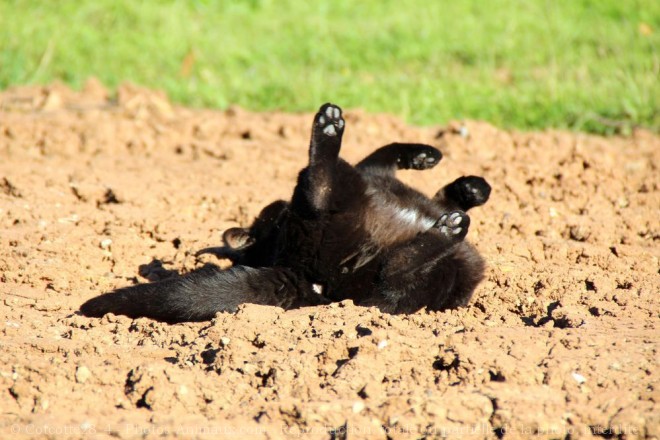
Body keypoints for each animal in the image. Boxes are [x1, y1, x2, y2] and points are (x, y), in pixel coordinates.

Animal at [80, 104, 490, 324]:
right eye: (271, 217)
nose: (278, 208)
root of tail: (300, 275)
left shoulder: (375, 177)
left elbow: (399, 159)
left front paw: (464, 181)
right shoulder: (366, 175)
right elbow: (380, 152)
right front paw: (451, 179)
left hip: (425, 280)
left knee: (396, 265)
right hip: (386, 275)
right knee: (389, 261)